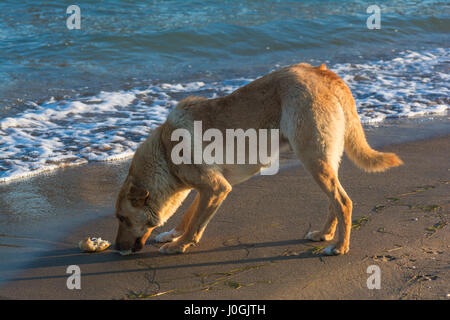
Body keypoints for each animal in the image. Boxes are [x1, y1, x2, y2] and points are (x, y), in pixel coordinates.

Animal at [114, 63, 402, 256]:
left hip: (313, 159)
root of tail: (322, 73)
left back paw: (340, 247)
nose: (116, 248)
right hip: (326, 161)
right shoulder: (208, 189)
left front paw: (179, 245)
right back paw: (324, 235)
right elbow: (190, 216)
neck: (164, 151)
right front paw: (172, 235)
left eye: (122, 219)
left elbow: (195, 224)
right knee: (335, 202)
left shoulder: (216, 188)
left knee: (343, 202)